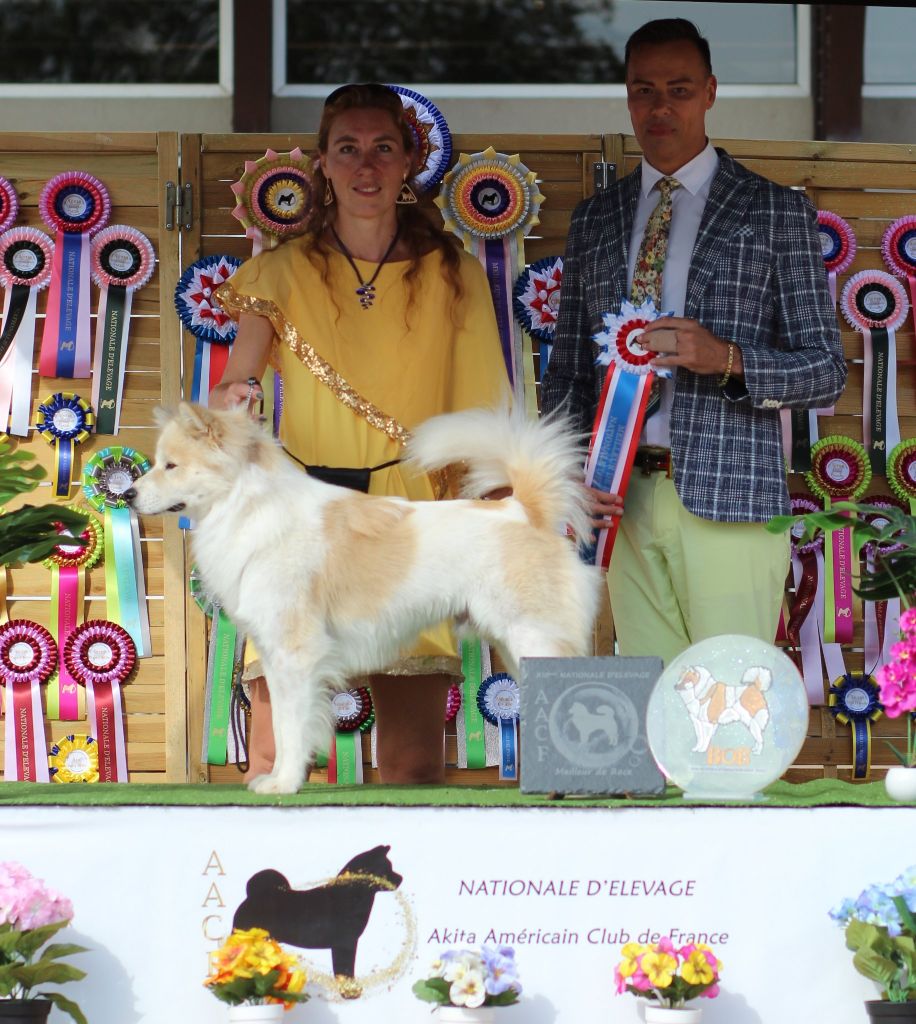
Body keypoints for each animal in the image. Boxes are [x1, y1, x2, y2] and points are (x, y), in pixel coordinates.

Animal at [128, 403, 601, 794]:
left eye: (171, 465)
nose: (128, 494)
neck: (249, 505)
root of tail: (523, 511)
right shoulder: (278, 659)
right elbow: (282, 724)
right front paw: (281, 777)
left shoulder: (295, 653)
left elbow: (292, 727)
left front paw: (283, 784)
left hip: (532, 638)